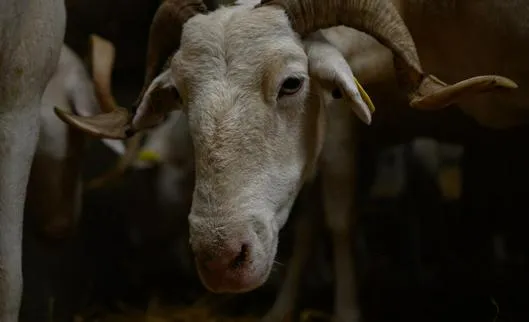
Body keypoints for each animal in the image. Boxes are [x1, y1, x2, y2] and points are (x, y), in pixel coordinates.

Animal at [55, 1, 516, 320]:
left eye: (293, 83)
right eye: (180, 95)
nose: (220, 259)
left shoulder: (342, 125)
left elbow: (339, 219)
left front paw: (347, 311)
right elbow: (312, 222)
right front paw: (283, 308)